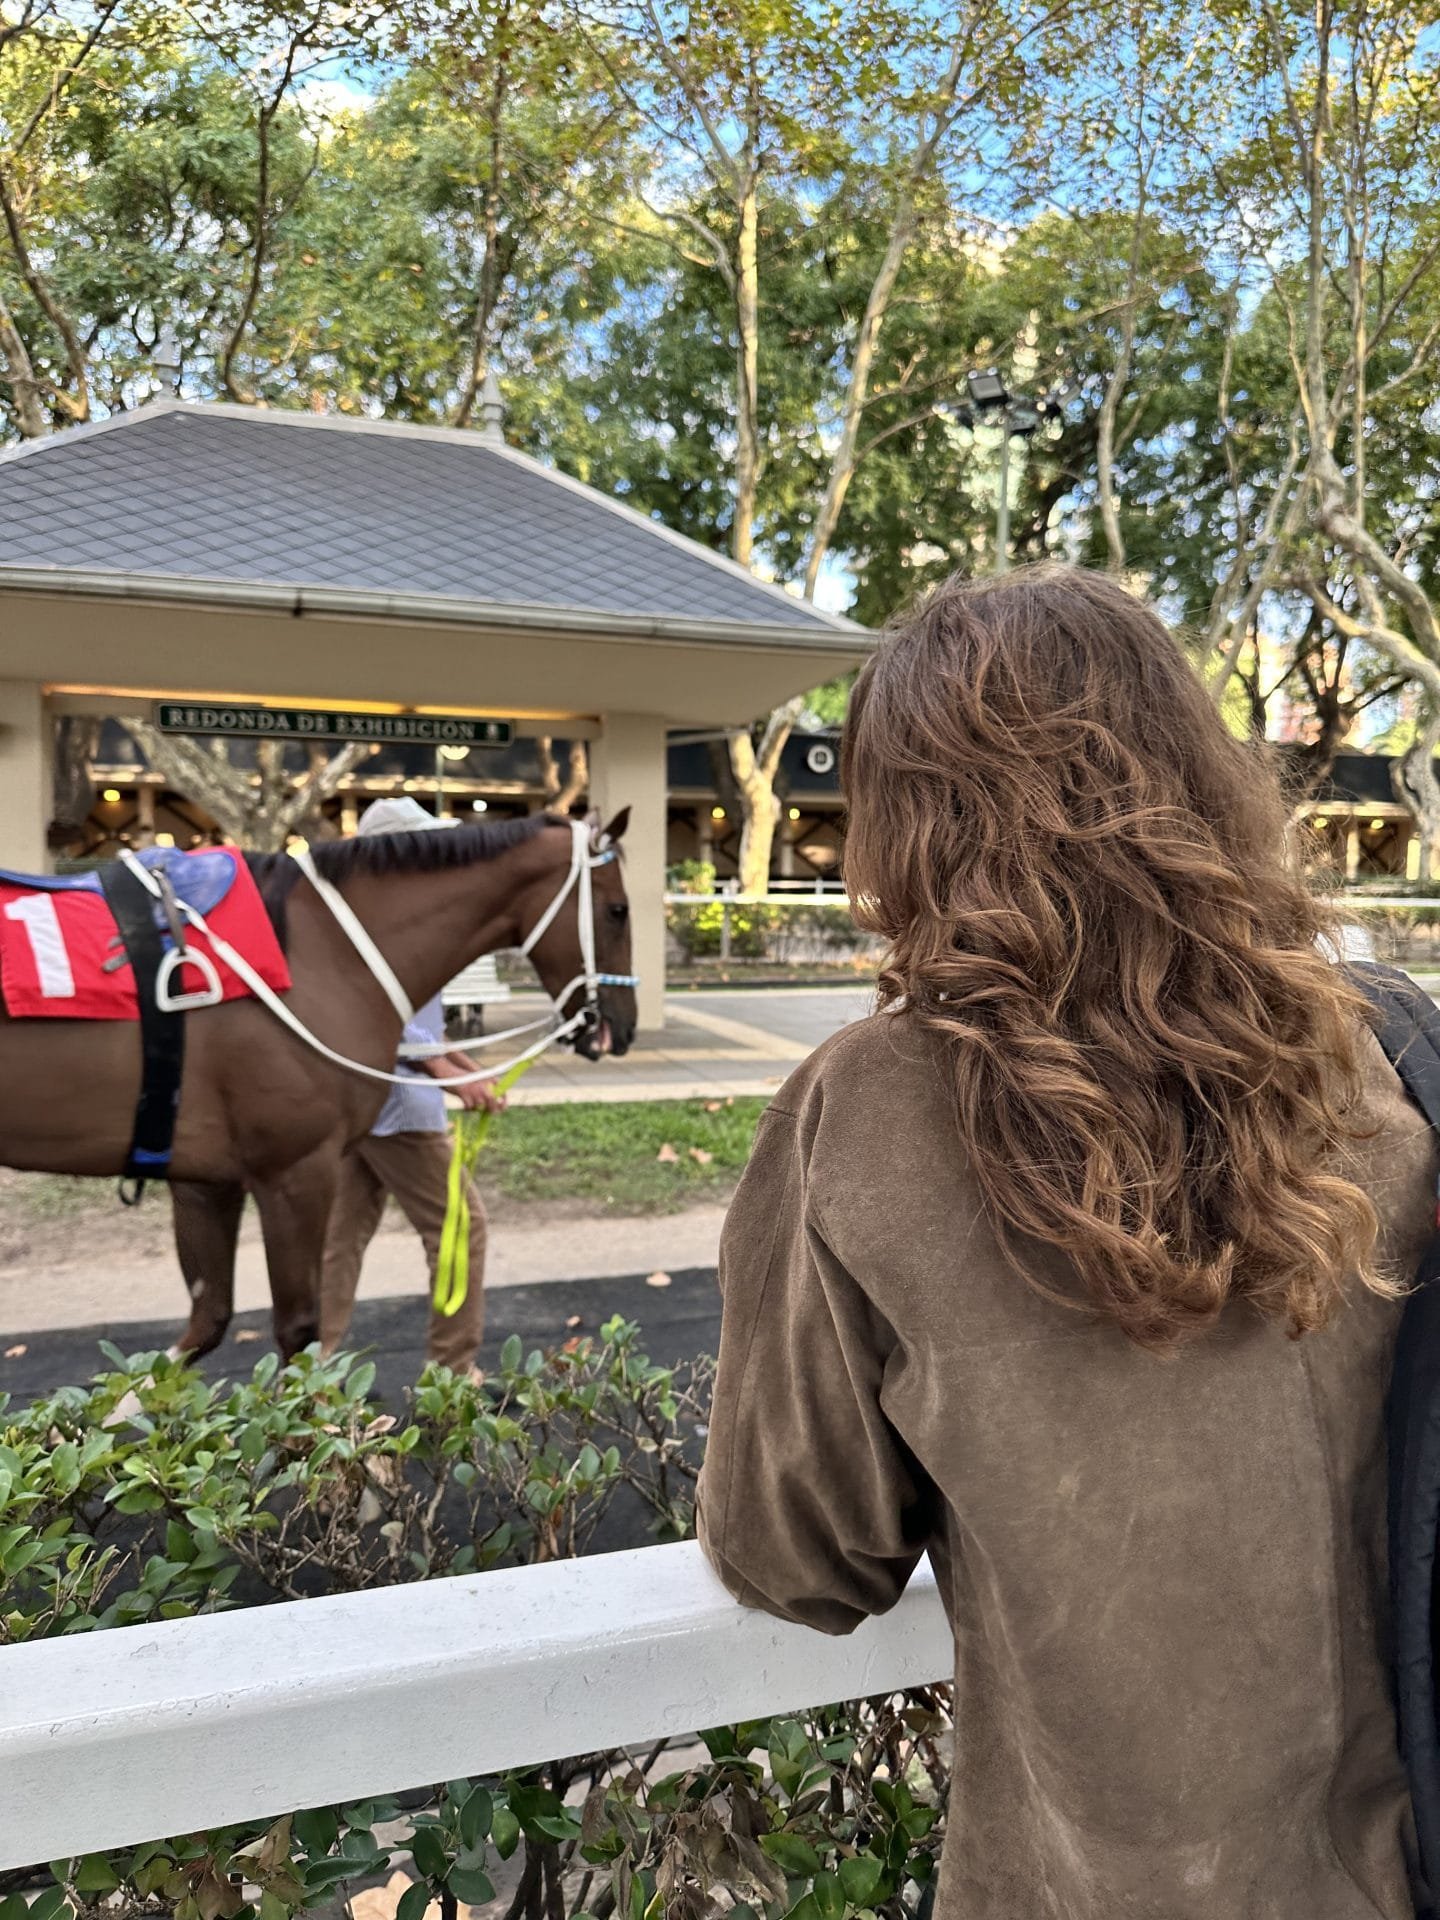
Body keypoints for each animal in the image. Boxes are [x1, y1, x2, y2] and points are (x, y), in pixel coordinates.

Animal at [0, 810, 633, 1351]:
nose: (621, 1029)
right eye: (618, 910)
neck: (319, 953)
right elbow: (298, 1327)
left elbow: (205, 1323)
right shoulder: (294, 1172)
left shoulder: (203, 1178)